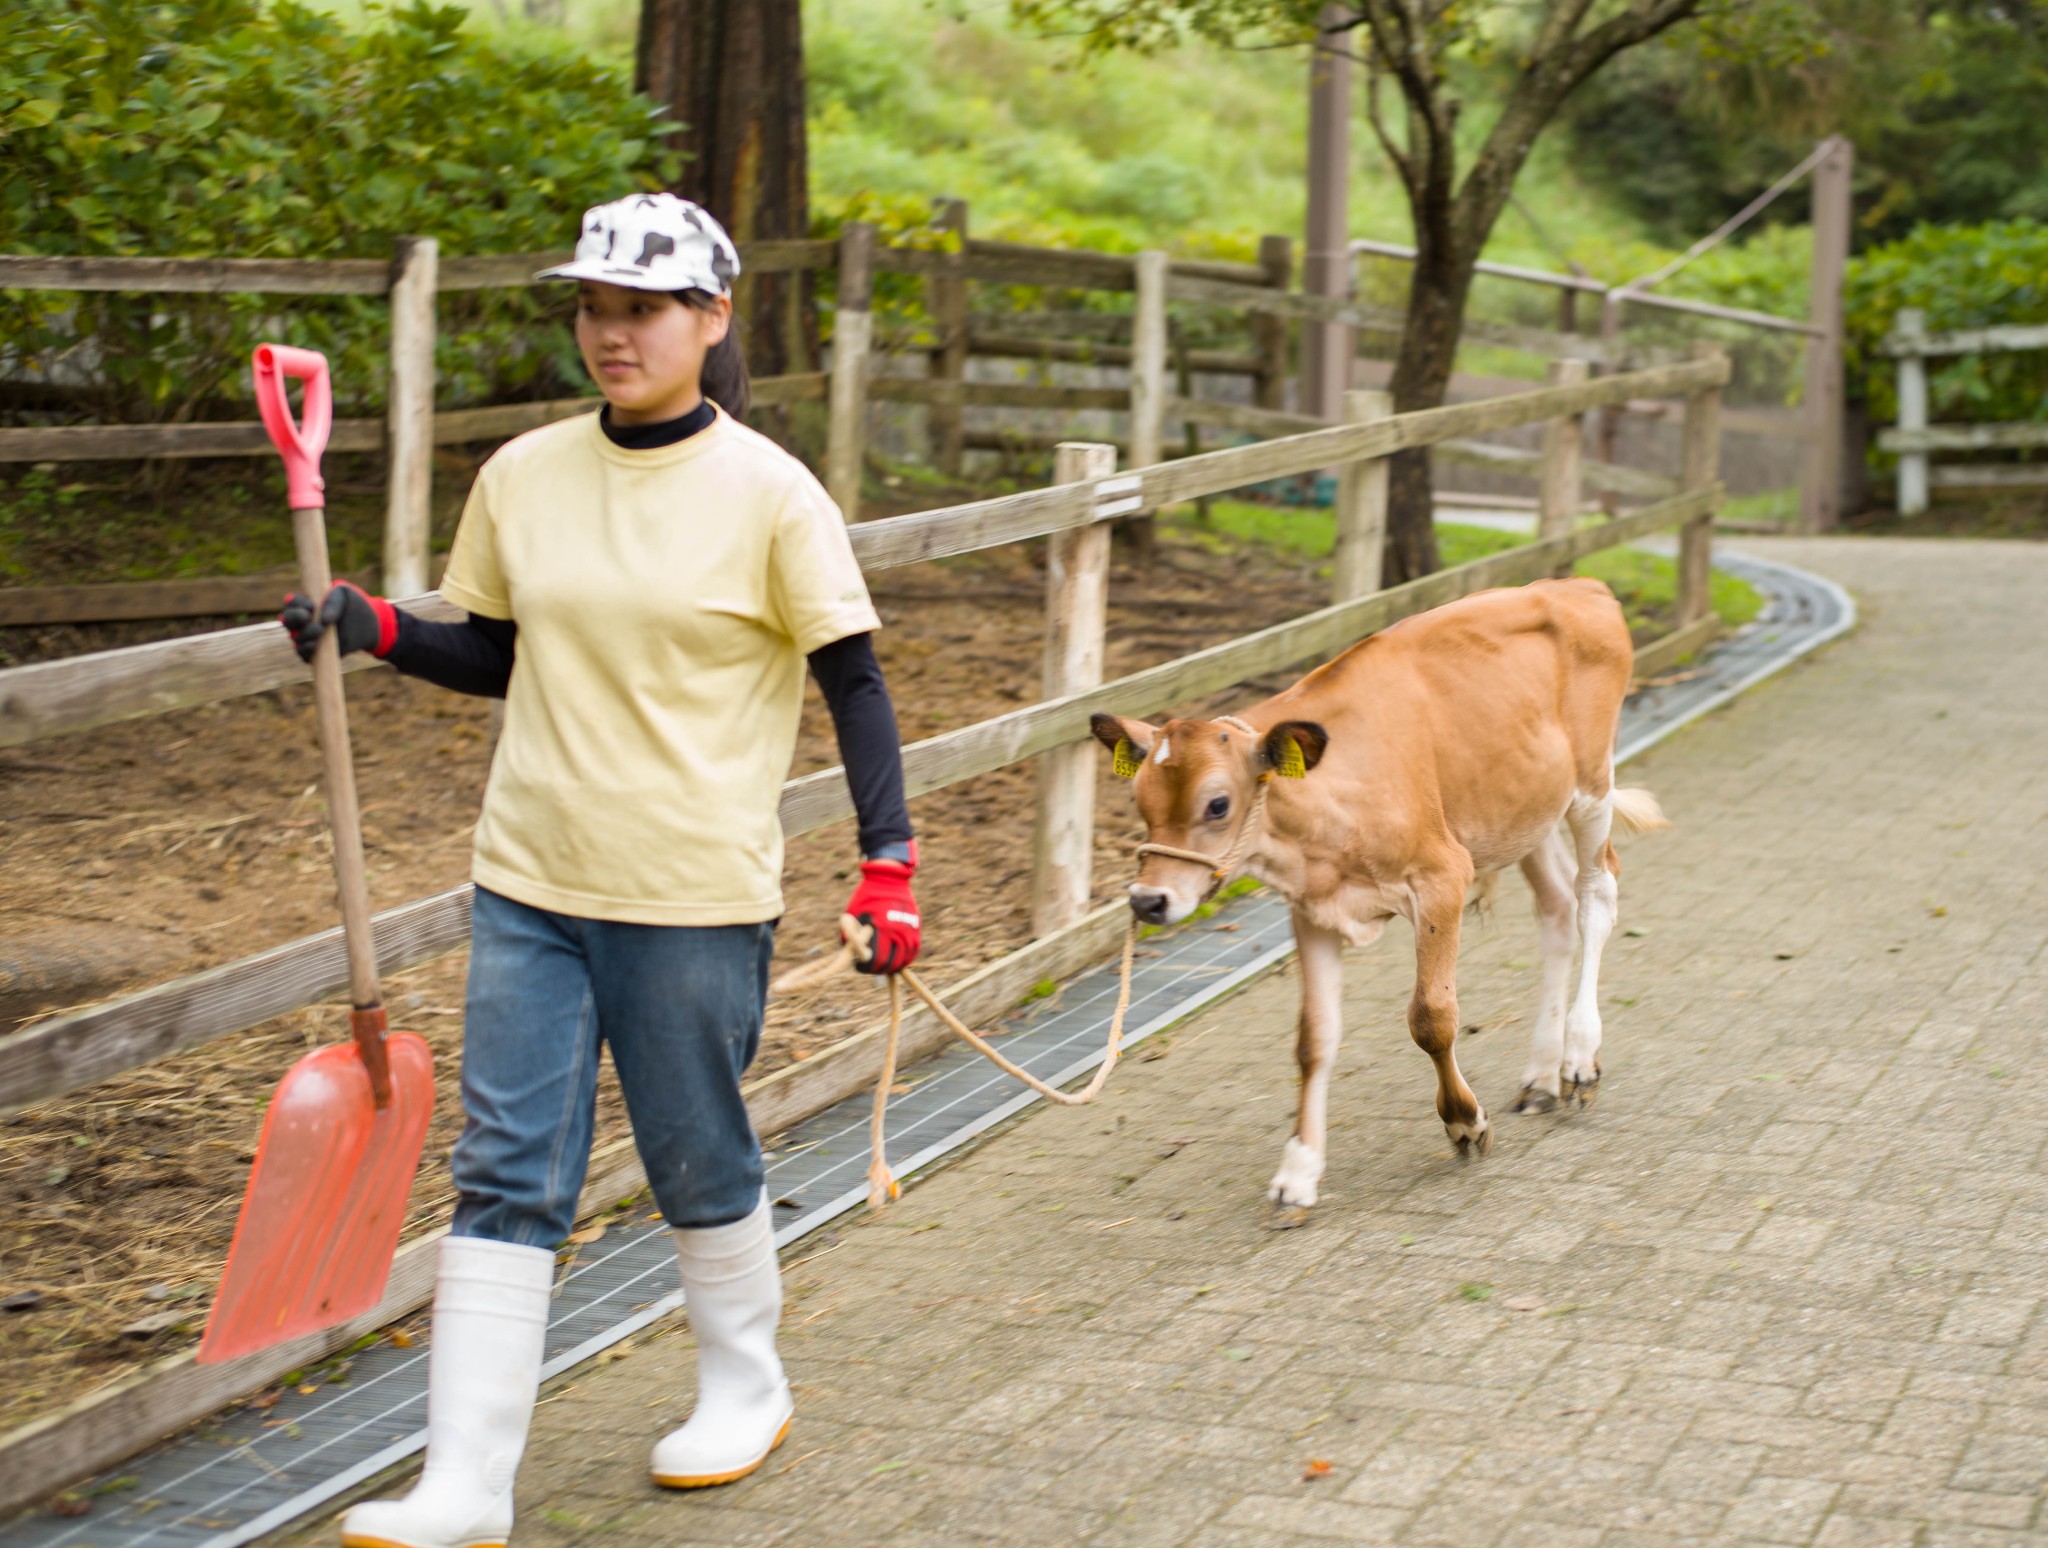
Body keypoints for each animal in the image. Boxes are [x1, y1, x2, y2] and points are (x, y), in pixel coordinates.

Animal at [1089, 573, 1662, 1212]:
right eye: (1137, 800)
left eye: (1217, 804)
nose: (1147, 900)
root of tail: (1575, 584)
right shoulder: (1311, 910)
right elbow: (1313, 1040)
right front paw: (1299, 1170)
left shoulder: (1443, 877)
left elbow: (1432, 1017)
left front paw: (1463, 1121)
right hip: (1522, 809)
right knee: (1558, 906)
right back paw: (1542, 1074)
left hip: (1591, 786)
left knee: (1596, 894)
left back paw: (1580, 1055)